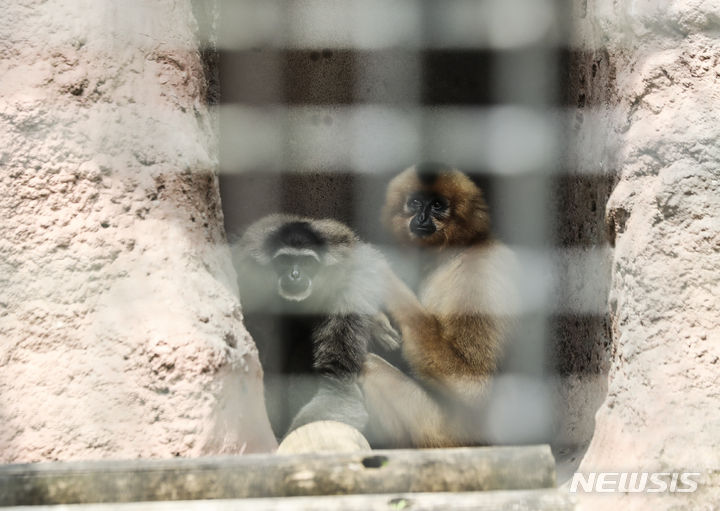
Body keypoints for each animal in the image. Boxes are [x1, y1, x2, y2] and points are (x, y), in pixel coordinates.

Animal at [362, 163, 520, 448]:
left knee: (369, 368)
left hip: (448, 432)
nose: (422, 217)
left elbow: (471, 385)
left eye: (437, 205)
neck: (455, 252)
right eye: (415, 202)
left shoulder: (482, 275)